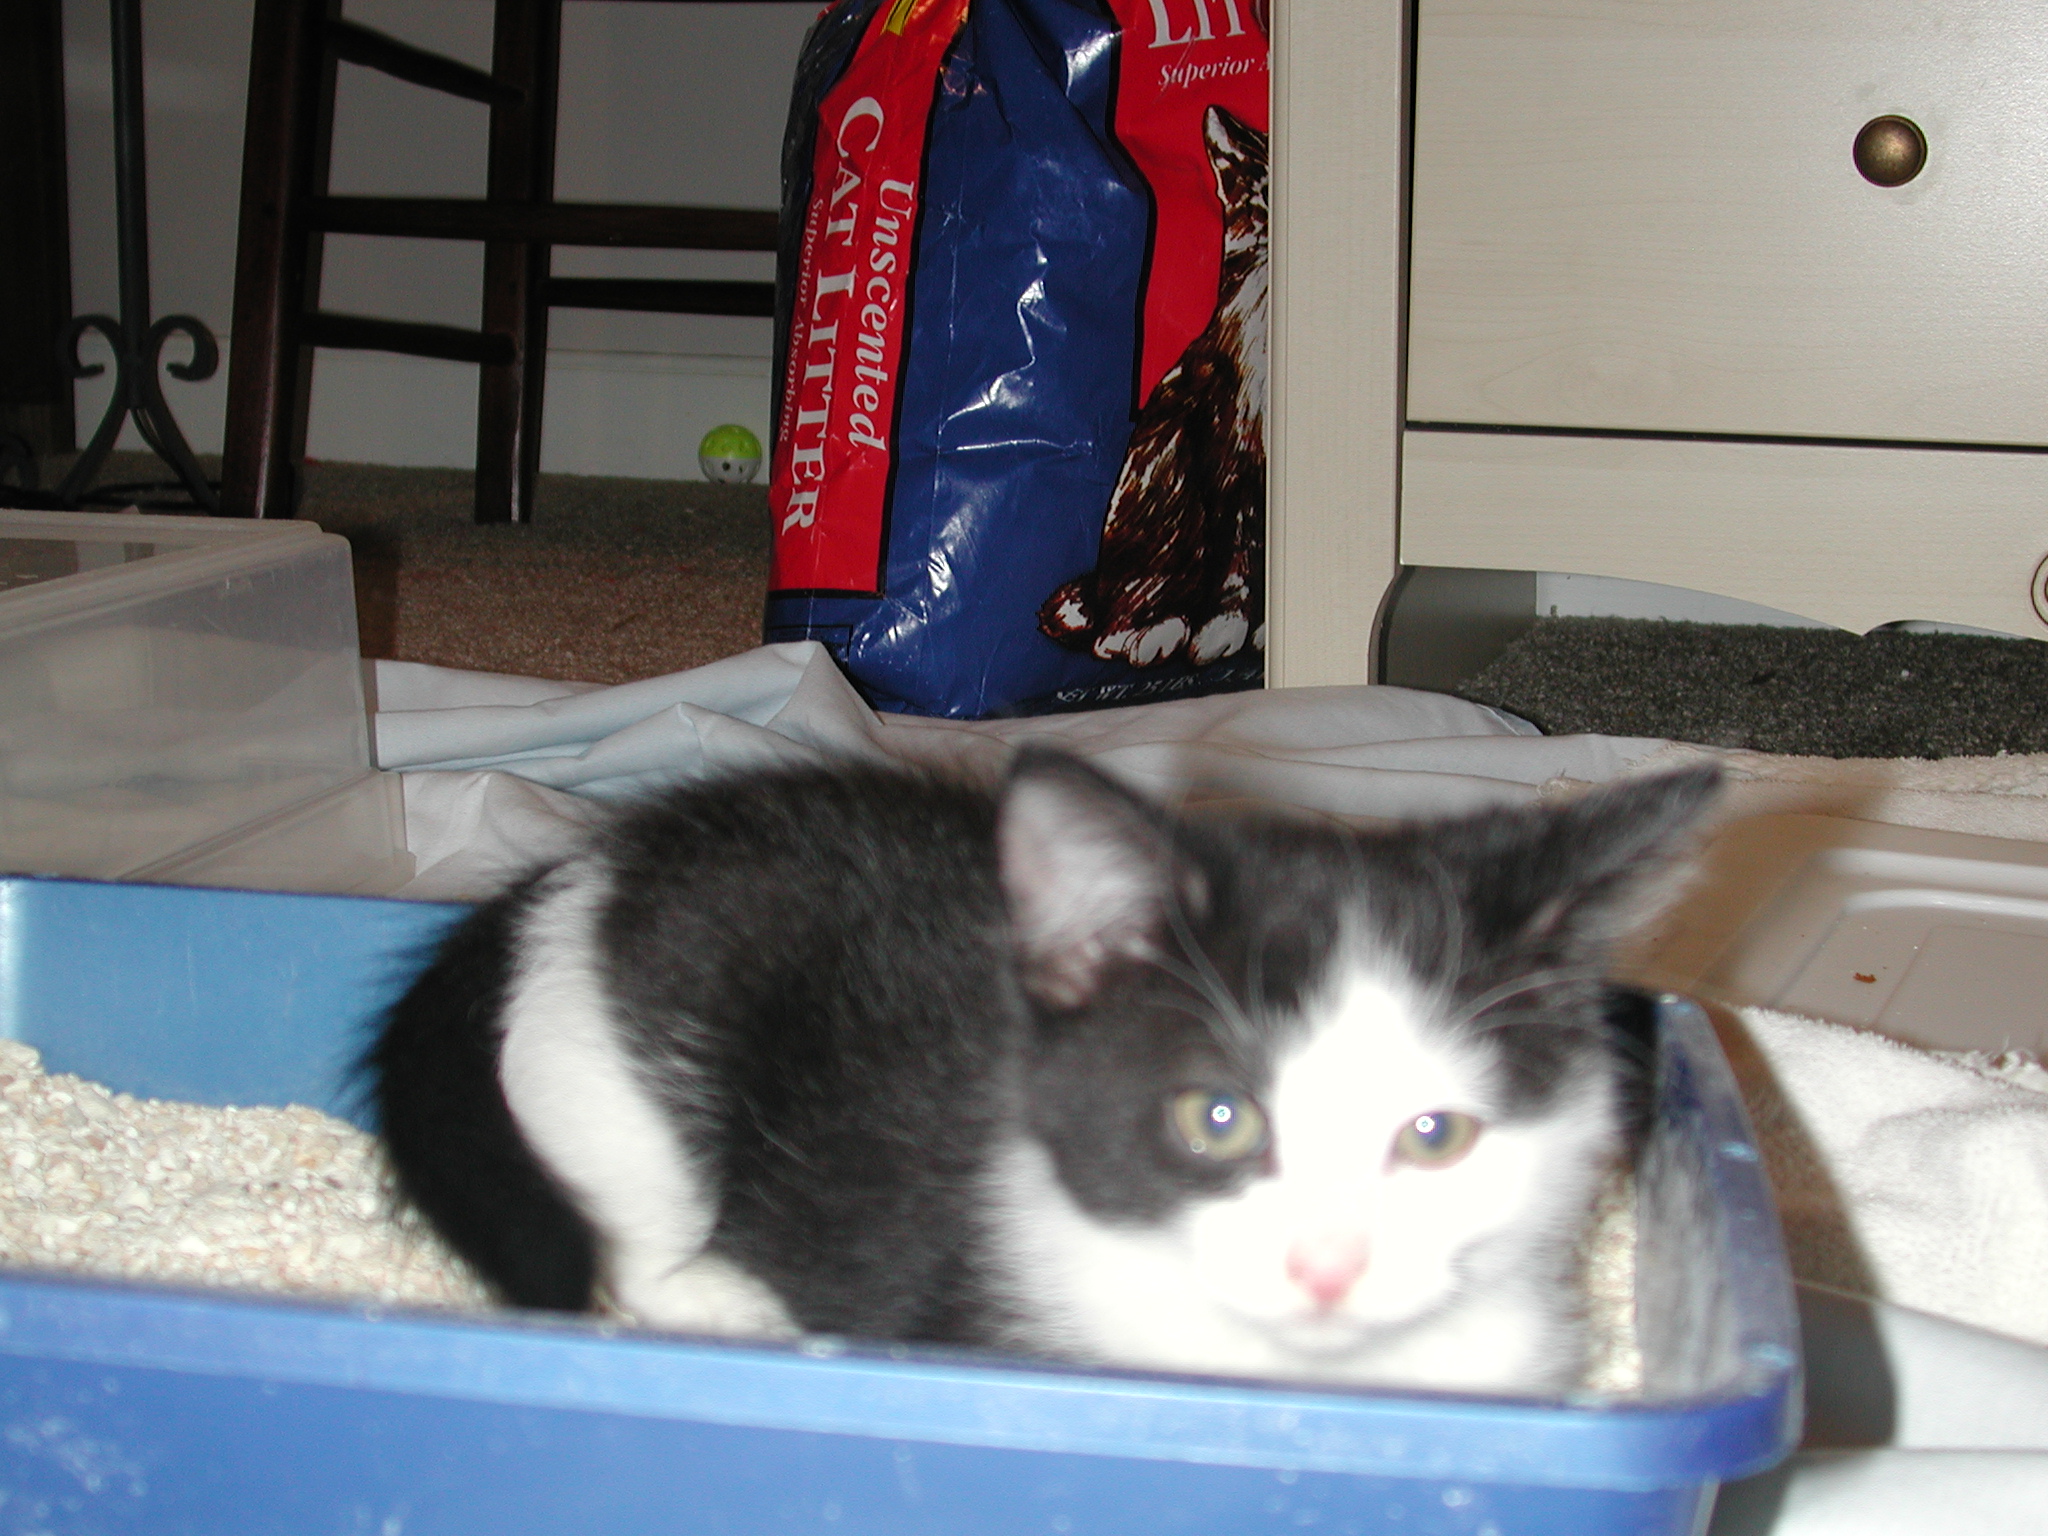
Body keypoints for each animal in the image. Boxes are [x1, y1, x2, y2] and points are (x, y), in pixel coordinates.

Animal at [372, 750, 1718, 1394]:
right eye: (1216, 1117)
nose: (1325, 1268)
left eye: (1435, 1136)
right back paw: (724, 1300)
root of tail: (573, 871)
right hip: (626, 1056)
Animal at [1038, 105, 1268, 671]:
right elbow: (1237, 560)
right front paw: (1227, 624)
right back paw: (1152, 631)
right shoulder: (1229, 455)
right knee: (1125, 613)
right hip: (1162, 474)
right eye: (1256, 196)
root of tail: (1097, 585)